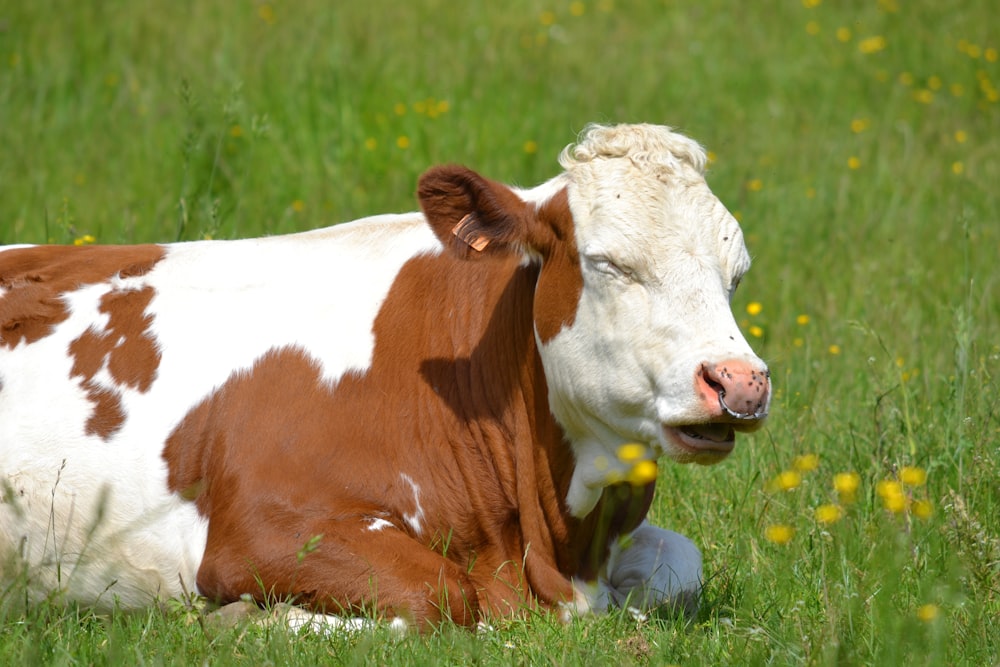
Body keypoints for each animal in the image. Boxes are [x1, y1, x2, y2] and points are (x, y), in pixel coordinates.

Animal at [0, 124, 772, 632]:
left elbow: (681, 565)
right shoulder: (262, 525)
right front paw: (246, 619)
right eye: (607, 262)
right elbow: (438, 598)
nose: (739, 382)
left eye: (736, 271)